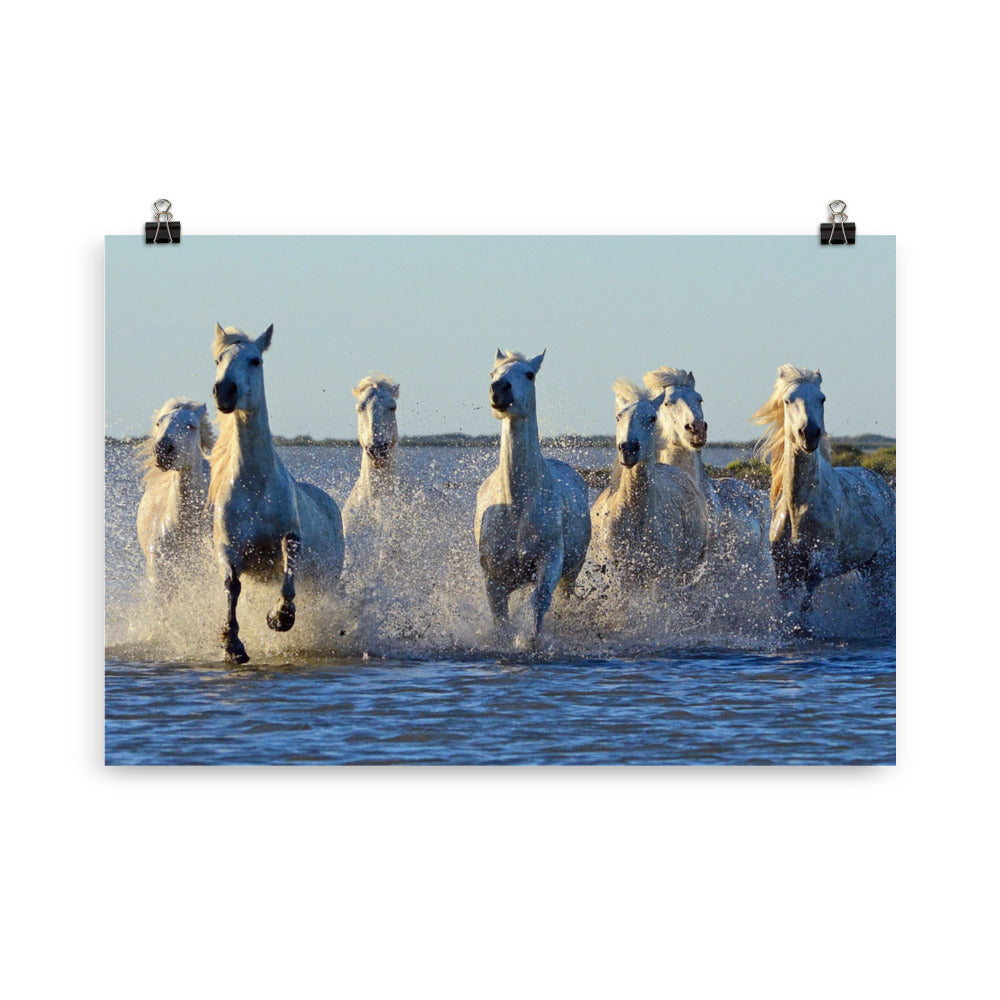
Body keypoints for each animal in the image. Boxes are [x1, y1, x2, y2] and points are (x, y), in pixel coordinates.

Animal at [209, 323, 344, 663]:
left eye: (255, 360)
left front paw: (279, 617)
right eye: (218, 359)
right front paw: (233, 646)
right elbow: (232, 586)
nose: (225, 391)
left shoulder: (291, 536)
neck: (254, 486)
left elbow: (289, 570)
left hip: (327, 579)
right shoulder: (228, 548)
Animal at [474, 349, 591, 645]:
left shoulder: (549, 562)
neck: (517, 505)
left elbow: (538, 603)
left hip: (571, 572)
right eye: (492, 373)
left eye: (529, 374)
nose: (499, 389)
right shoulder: (494, 576)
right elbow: (501, 617)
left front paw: (531, 642)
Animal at [752, 364, 895, 612]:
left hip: (884, 562)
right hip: (867, 565)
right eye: (788, 400)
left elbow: (806, 603)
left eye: (822, 398)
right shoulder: (783, 571)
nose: (809, 434)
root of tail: (882, 483)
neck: (799, 508)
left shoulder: (821, 563)